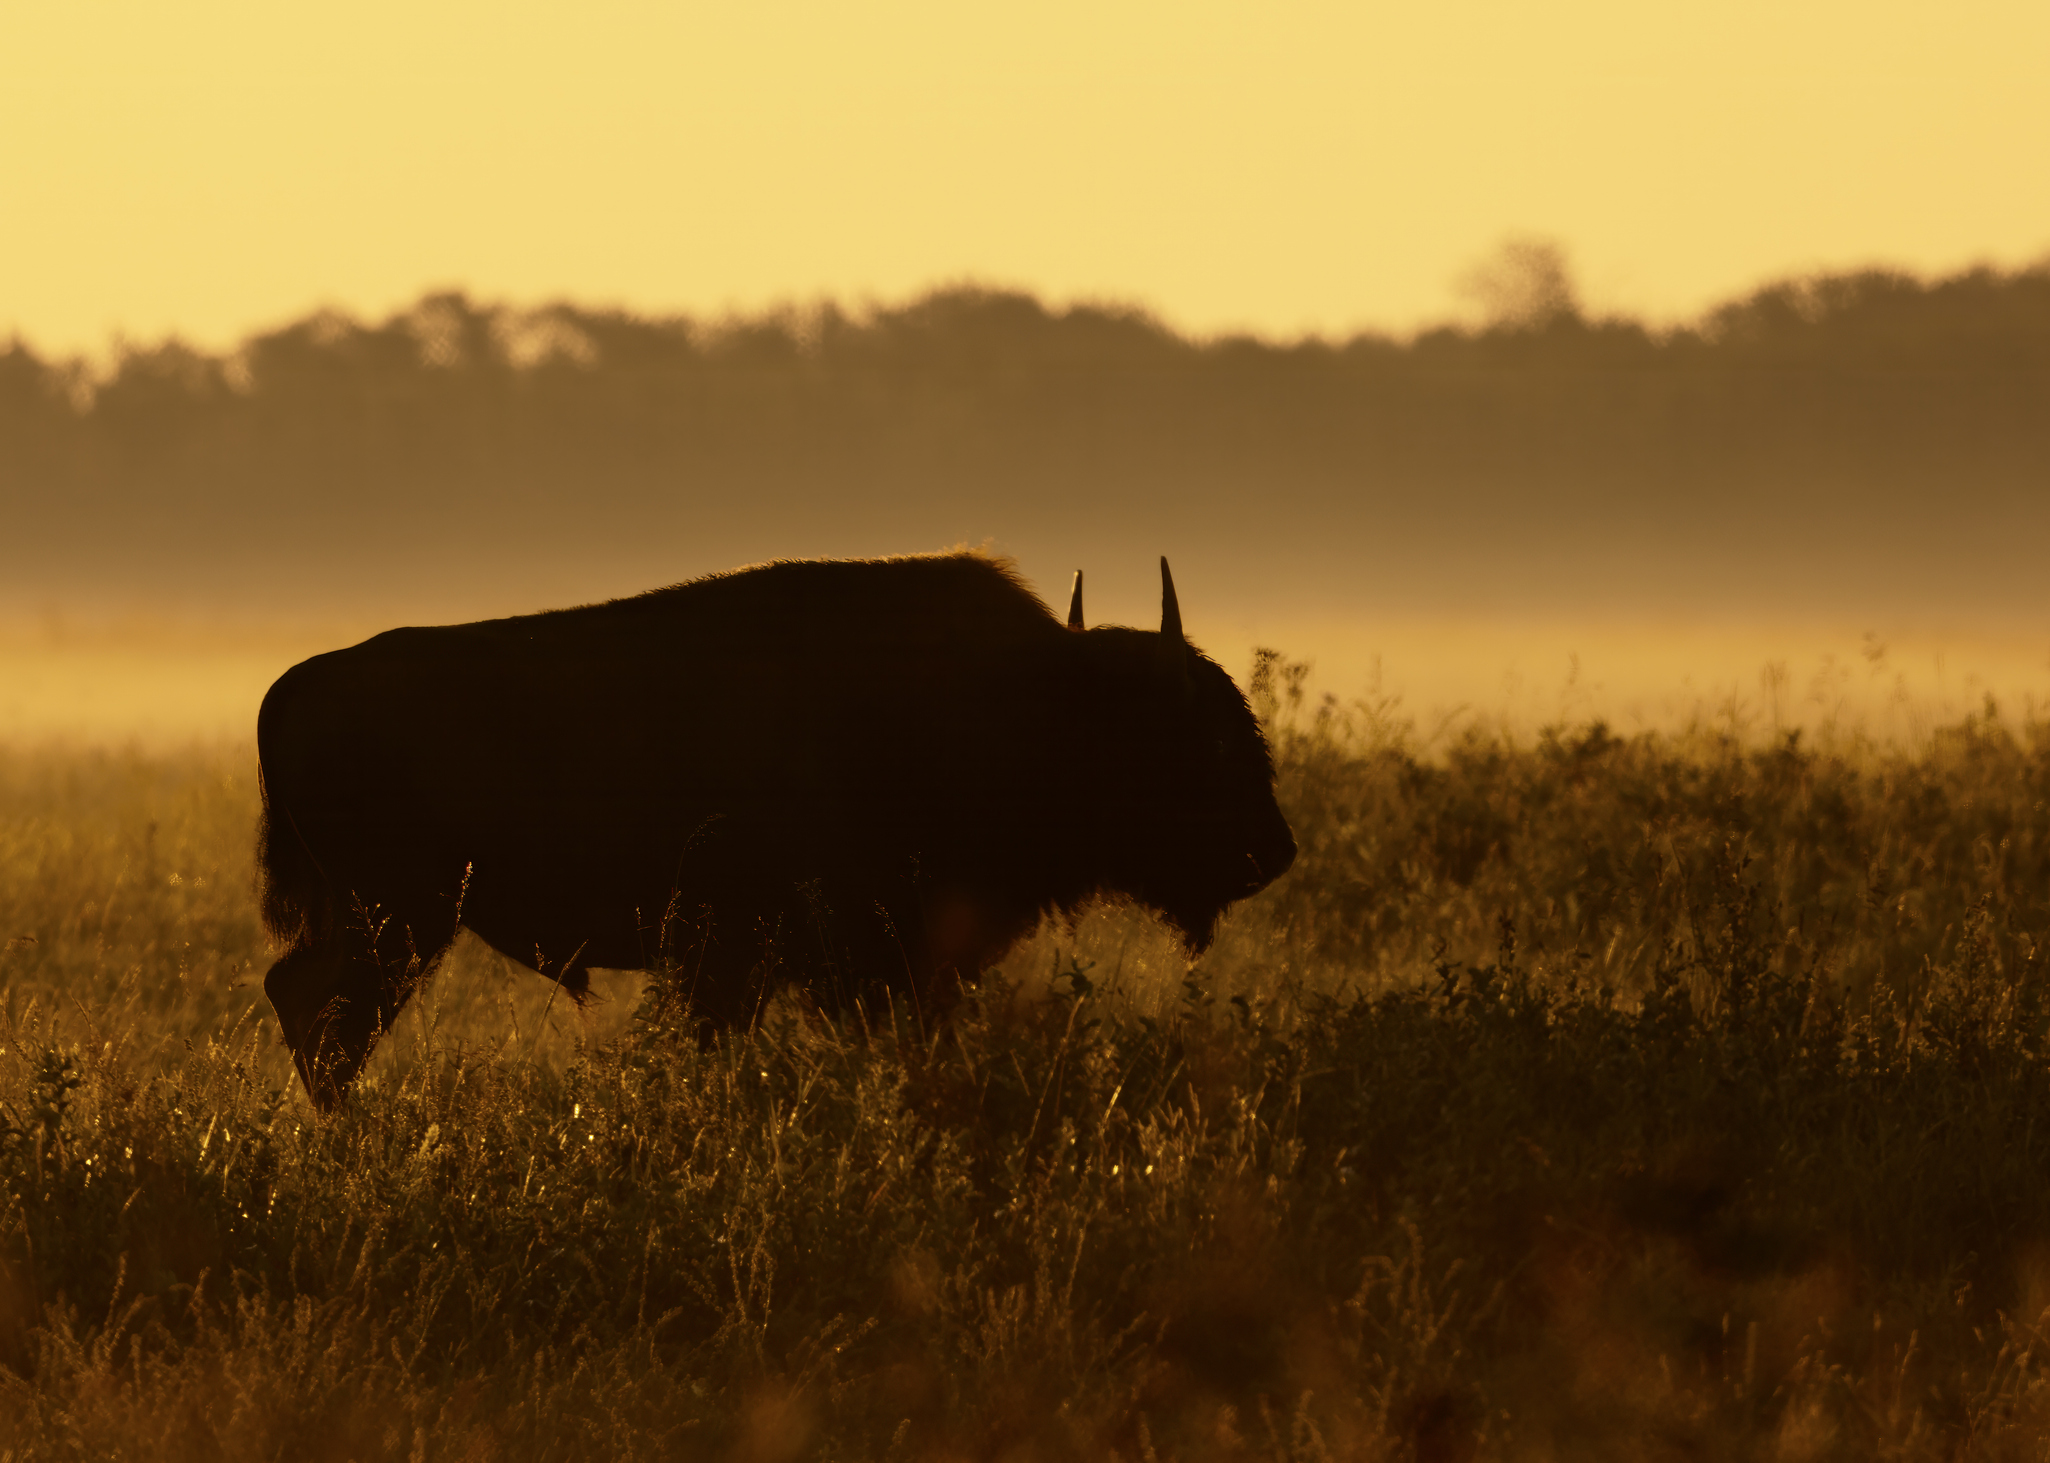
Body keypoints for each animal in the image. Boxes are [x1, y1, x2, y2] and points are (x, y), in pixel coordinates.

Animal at [257, 551, 1296, 1107]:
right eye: (1203, 736)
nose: (1276, 849)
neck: (1040, 703)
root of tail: (290, 687)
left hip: (384, 922)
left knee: (306, 1004)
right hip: (400, 920)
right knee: (325, 1016)